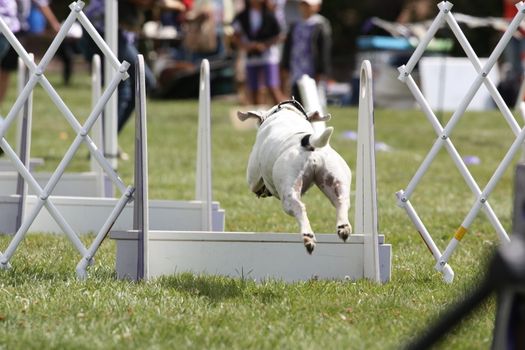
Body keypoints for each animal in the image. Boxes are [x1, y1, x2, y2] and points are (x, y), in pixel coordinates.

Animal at [237, 100, 352, 253]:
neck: (286, 111)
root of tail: (308, 142)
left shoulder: (253, 178)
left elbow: (257, 185)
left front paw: (264, 190)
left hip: (288, 195)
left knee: (299, 208)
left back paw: (308, 237)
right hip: (335, 181)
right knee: (341, 201)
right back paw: (343, 228)